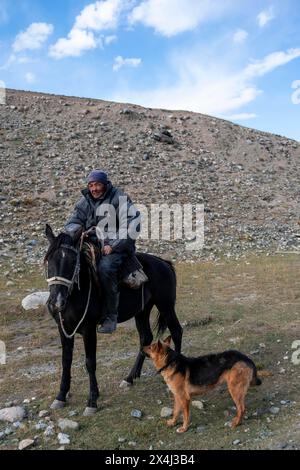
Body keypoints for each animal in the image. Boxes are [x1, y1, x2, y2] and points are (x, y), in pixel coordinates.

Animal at [43, 225, 182, 414]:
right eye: (49, 261)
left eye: (73, 262)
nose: (56, 302)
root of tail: (164, 263)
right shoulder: (64, 329)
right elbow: (66, 361)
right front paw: (61, 396)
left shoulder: (88, 329)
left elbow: (90, 362)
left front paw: (92, 401)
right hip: (142, 312)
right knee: (145, 338)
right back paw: (130, 378)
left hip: (166, 306)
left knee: (176, 331)